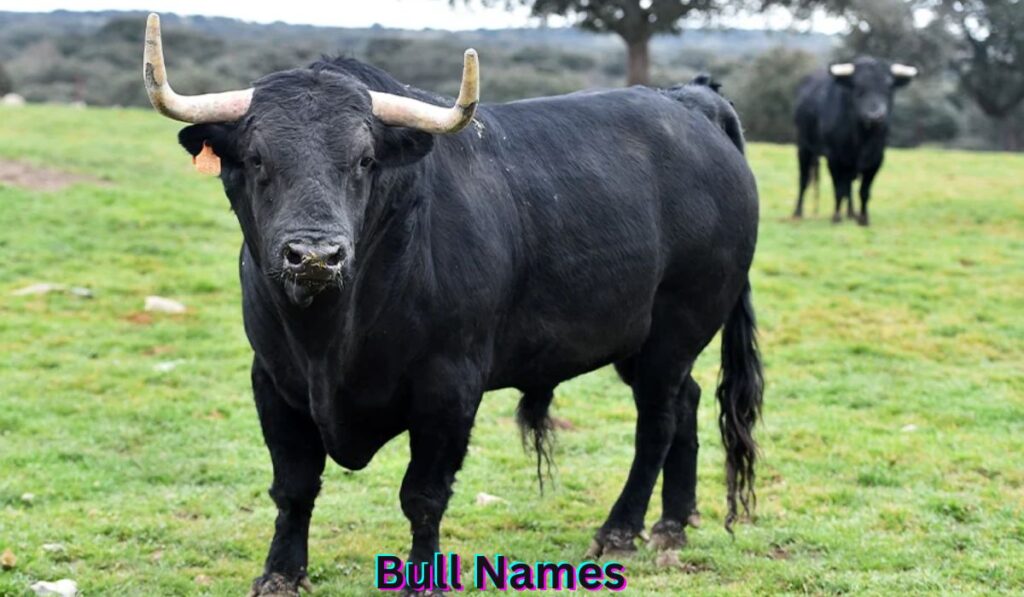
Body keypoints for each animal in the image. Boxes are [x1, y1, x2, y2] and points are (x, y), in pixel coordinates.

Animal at [141, 14, 763, 596]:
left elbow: (423, 494)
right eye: (255, 158)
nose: (314, 255)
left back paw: (621, 530)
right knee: (686, 402)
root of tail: (690, 100)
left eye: (364, 160)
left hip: (677, 328)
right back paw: (673, 524)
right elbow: (294, 486)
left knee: (656, 422)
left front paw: (424, 576)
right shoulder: (273, 380)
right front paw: (280, 573)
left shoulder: (449, 387)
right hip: (646, 340)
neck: (329, 337)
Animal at [792, 56, 918, 226]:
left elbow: (864, 191)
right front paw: (836, 216)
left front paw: (863, 218)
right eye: (858, 87)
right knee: (804, 180)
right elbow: (838, 189)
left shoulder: (876, 159)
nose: (875, 116)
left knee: (849, 186)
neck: (862, 138)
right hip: (804, 147)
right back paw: (797, 213)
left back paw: (851, 213)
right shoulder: (835, 159)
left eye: (889, 86)